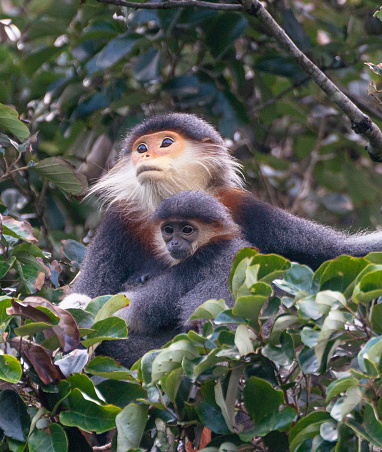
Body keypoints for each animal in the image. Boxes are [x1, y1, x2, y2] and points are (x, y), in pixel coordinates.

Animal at [61, 114, 382, 310]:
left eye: (166, 142)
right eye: (140, 148)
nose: (146, 154)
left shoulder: (241, 205)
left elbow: (336, 252)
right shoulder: (120, 219)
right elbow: (89, 292)